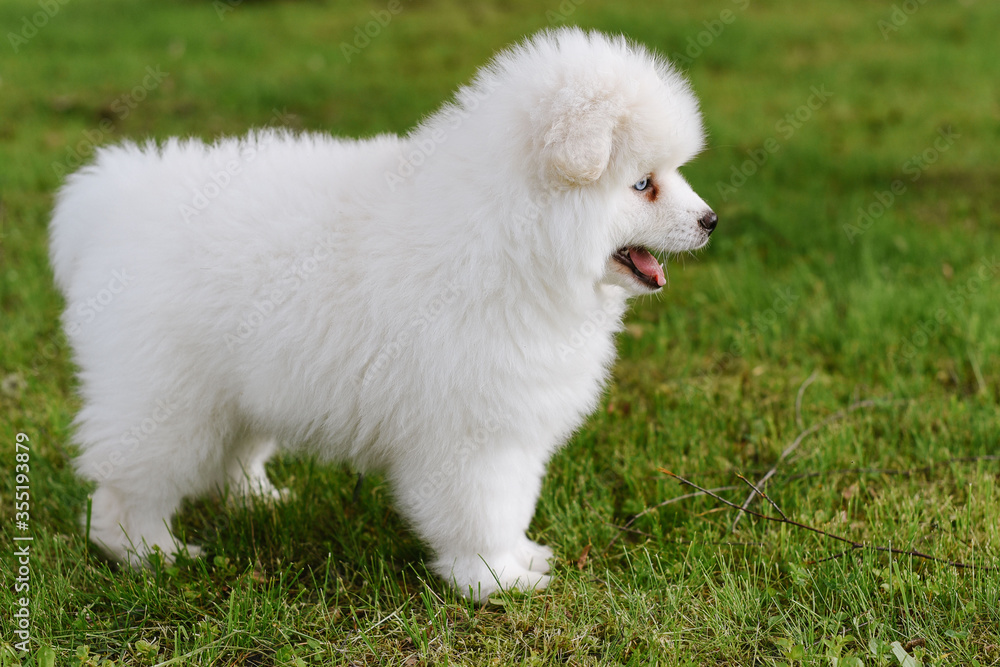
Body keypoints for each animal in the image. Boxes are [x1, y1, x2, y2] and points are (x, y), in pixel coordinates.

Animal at [50, 27, 716, 600]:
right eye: (643, 184)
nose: (711, 220)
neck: (508, 235)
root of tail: (114, 202)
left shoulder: (516, 418)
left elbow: (514, 504)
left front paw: (522, 555)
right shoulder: (474, 432)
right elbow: (483, 510)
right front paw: (494, 581)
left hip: (239, 385)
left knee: (234, 453)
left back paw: (260, 499)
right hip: (165, 399)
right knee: (126, 490)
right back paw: (150, 553)